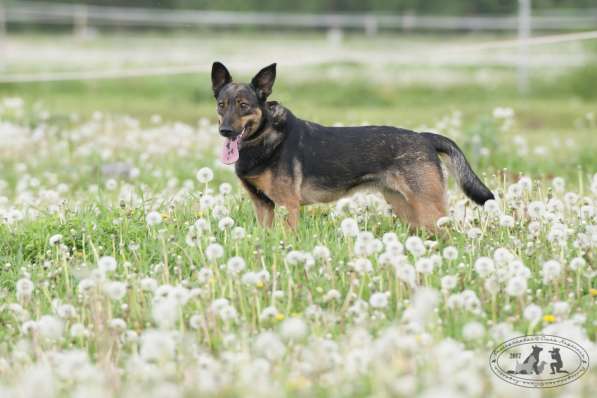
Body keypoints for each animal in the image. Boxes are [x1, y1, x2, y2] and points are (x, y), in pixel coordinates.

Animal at [212, 60, 492, 232]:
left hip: (428, 209)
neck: (264, 137)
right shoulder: (263, 206)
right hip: (406, 208)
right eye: (221, 105)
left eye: (244, 105)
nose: (225, 131)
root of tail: (425, 137)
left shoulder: (287, 206)